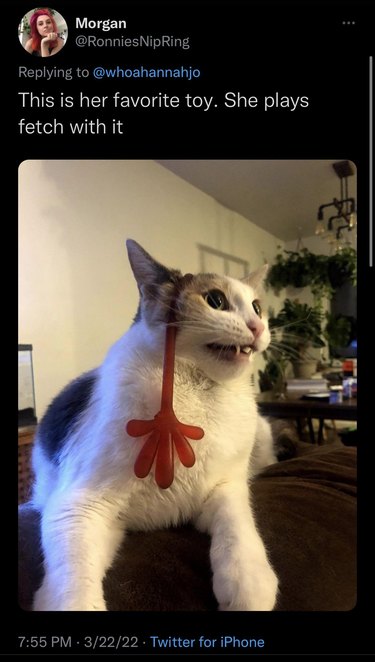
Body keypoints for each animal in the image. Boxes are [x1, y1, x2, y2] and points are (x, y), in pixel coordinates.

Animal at [30, 239, 280, 612]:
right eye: (215, 301)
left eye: (257, 307)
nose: (258, 327)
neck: (196, 395)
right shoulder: (78, 506)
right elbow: (74, 584)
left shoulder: (226, 486)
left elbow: (237, 523)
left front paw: (249, 581)